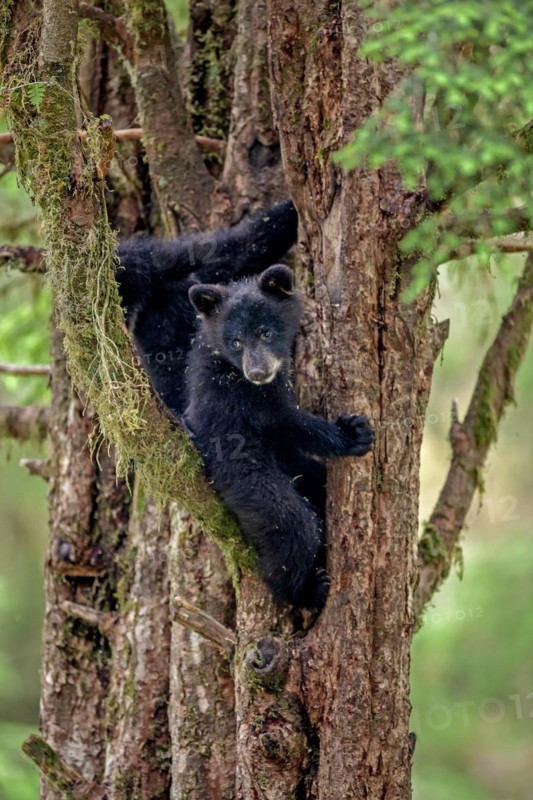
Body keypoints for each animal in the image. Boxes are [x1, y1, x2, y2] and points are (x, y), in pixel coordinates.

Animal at [184, 264, 374, 610]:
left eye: (266, 332)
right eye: (236, 342)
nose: (258, 372)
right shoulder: (243, 398)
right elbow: (284, 422)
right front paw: (352, 433)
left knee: (314, 481)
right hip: (249, 486)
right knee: (293, 528)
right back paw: (305, 591)